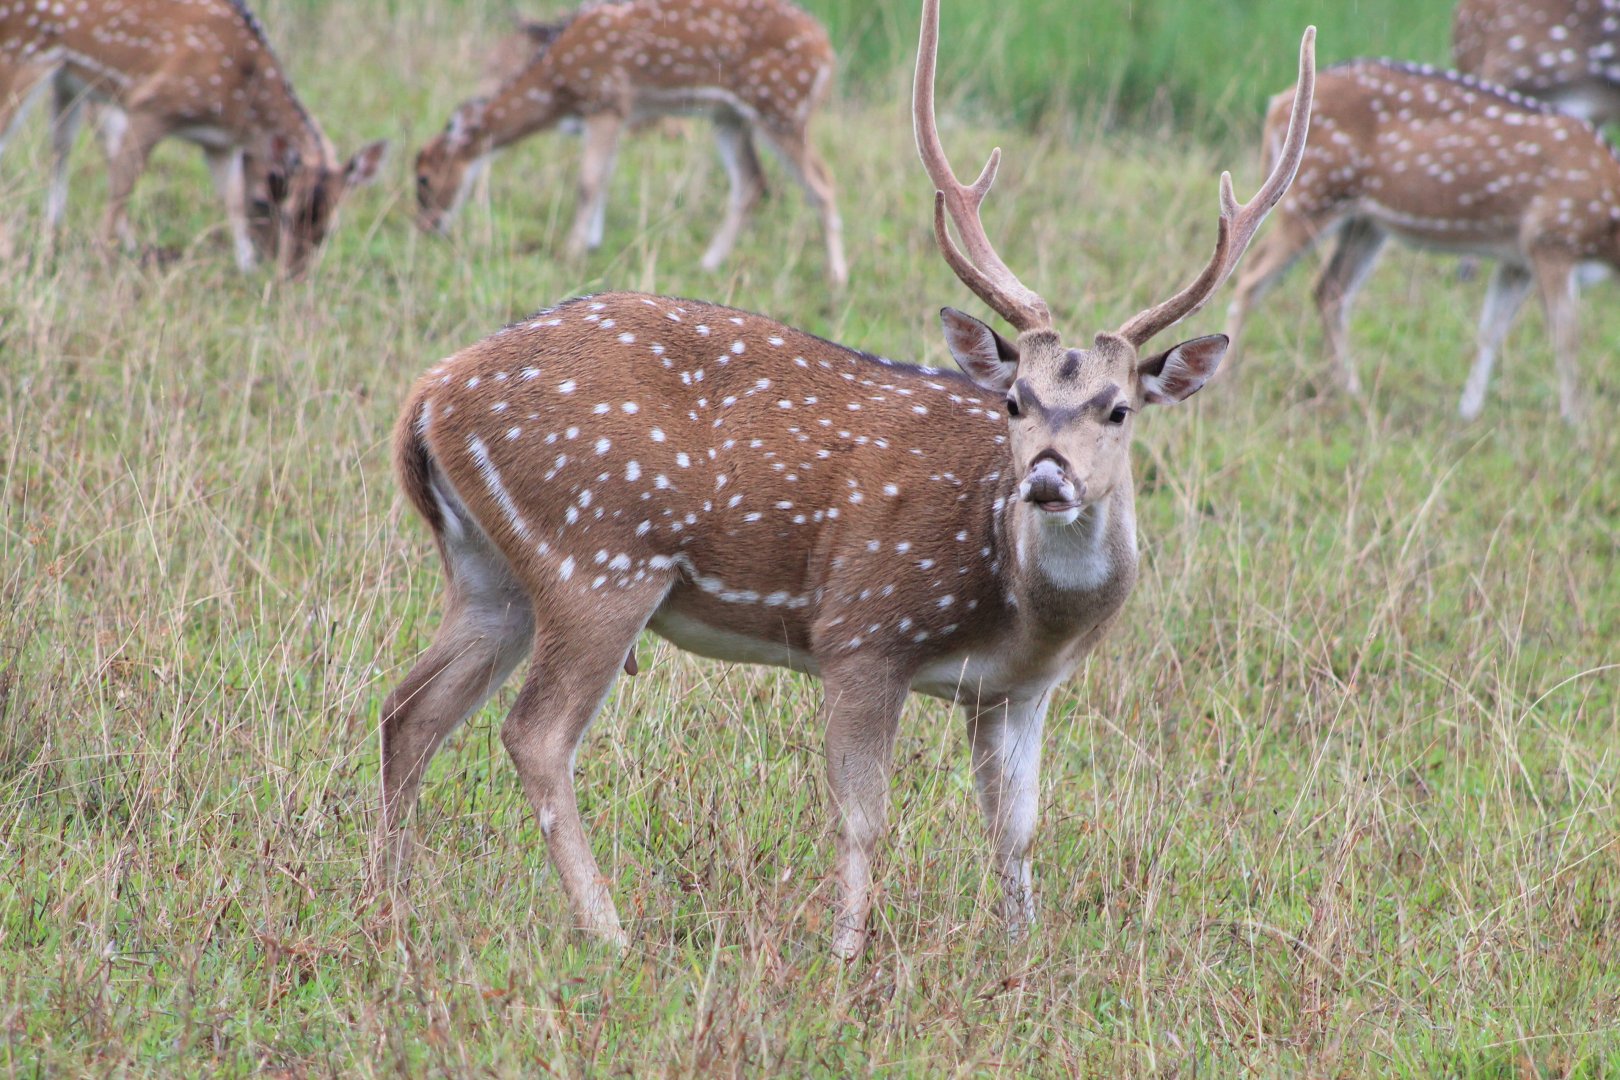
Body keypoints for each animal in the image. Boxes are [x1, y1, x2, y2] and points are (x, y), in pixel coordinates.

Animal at [0, 0, 388, 276]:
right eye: (278, 209)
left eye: (331, 228)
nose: (292, 276)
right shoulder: (151, 104)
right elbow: (122, 185)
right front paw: (104, 258)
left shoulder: (218, 143)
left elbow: (230, 197)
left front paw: (245, 267)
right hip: (21, 54)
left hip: (66, 79)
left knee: (61, 144)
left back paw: (54, 233)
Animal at [413, 0, 848, 287]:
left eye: (424, 178)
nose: (426, 228)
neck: (557, 87)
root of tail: (829, 54)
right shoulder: (620, 114)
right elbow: (604, 176)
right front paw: (592, 243)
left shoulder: (606, 100)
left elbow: (588, 181)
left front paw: (572, 251)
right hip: (728, 116)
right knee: (752, 181)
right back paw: (707, 263)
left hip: (780, 107)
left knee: (822, 182)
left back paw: (837, 278)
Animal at [1225, 59, 1620, 423]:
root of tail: (1277, 102)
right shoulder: (1553, 237)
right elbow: (1567, 335)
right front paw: (1576, 422)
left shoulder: (1517, 259)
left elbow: (1491, 329)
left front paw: (1467, 412)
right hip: (1314, 194)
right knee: (1254, 276)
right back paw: (1228, 384)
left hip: (1364, 221)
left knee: (1330, 288)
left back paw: (1352, 391)